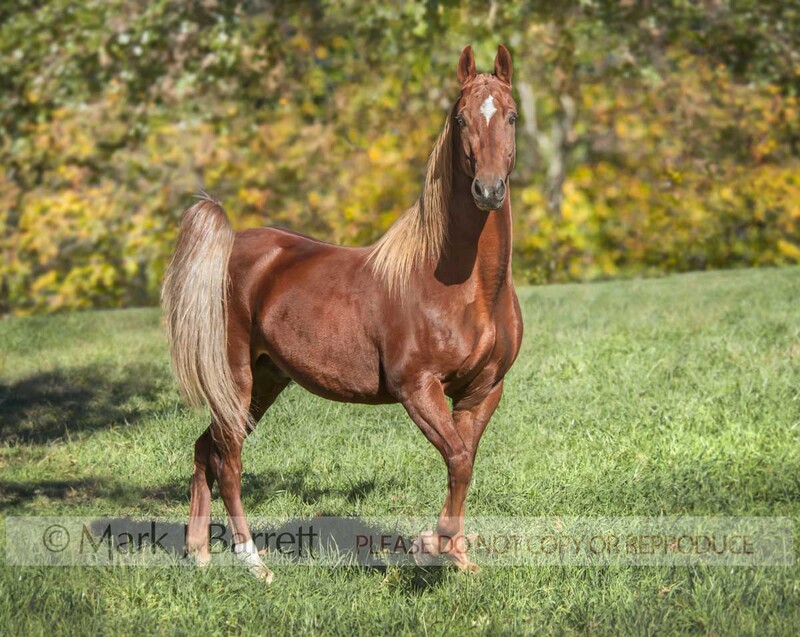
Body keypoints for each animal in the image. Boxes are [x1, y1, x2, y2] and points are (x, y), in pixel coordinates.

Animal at [162, 45, 523, 581]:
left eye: (512, 116)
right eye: (460, 119)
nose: (489, 190)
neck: (465, 286)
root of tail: (231, 246)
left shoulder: (482, 390)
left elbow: (465, 463)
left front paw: (457, 555)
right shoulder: (417, 387)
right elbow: (458, 459)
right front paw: (431, 547)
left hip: (266, 380)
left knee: (206, 448)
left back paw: (200, 552)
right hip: (236, 376)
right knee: (228, 460)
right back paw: (254, 563)